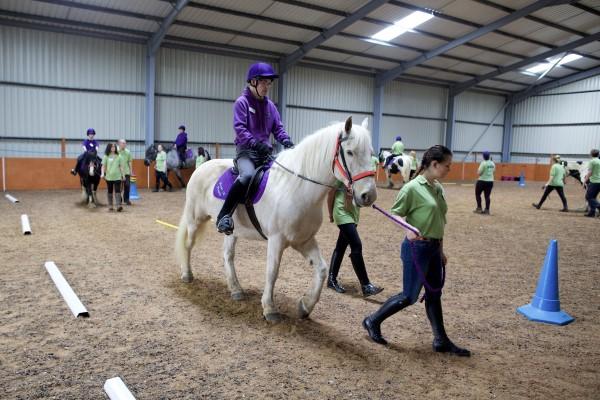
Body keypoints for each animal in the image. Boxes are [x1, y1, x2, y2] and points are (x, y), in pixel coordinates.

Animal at [176, 116, 378, 322]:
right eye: (350, 152)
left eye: (370, 153)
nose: (368, 196)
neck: (297, 188)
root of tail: (200, 168)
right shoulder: (276, 239)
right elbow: (272, 271)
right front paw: (270, 309)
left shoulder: (303, 240)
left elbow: (321, 269)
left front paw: (305, 306)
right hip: (195, 220)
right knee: (188, 244)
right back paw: (187, 274)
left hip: (232, 231)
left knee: (227, 255)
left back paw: (236, 289)